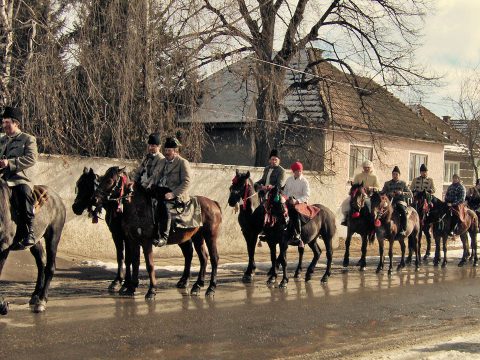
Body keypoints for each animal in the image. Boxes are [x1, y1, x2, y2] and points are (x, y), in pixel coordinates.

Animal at [0, 180, 65, 312]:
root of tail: (57, 198)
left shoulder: (4, 247)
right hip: (36, 241)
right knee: (41, 263)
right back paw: (35, 296)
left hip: (53, 236)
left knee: (50, 266)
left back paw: (42, 301)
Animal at [95, 166, 223, 296]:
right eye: (101, 179)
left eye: (109, 181)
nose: (95, 198)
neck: (138, 208)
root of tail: (213, 203)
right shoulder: (132, 240)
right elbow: (134, 262)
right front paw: (131, 288)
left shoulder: (145, 241)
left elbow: (149, 264)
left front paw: (151, 290)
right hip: (197, 236)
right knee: (202, 257)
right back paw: (197, 285)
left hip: (210, 235)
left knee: (213, 258)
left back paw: (211, 288)